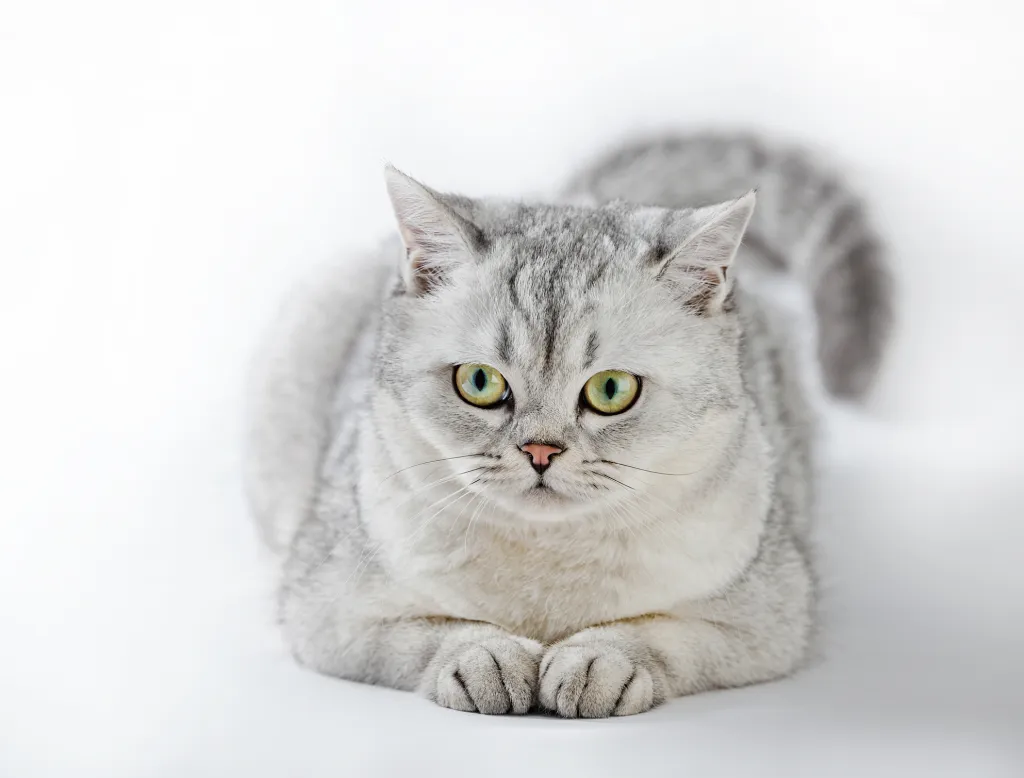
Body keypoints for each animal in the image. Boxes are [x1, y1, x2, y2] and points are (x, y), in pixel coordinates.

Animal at [245, 132, 888, 716]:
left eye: (611, 390)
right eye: (479, 382)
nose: (540, 451)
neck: (546, 566)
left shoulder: (769, 618)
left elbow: (662, 633)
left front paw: (600, 661)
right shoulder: (329, 611)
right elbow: (432, 633)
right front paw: (486, 658)